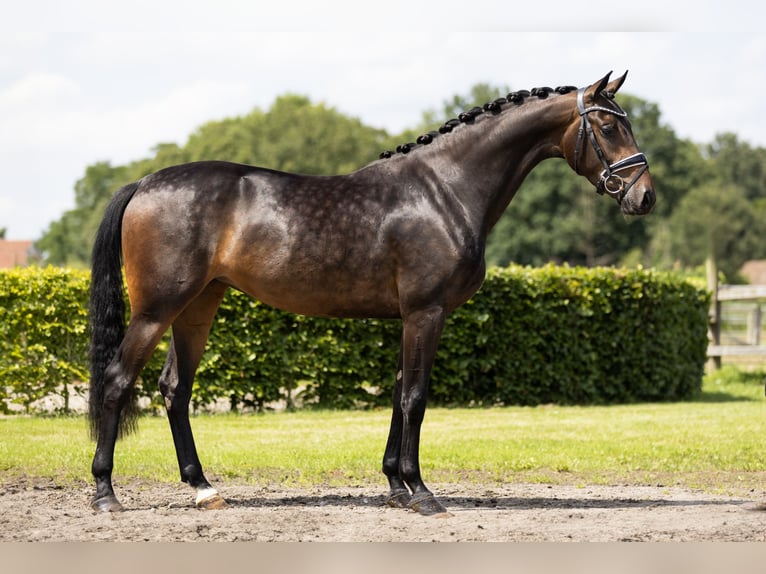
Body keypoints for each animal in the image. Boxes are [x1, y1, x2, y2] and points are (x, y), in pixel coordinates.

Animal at [88, 71, 656, 516]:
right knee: (118, 381)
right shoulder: (427, 312)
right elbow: (415, 397)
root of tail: (144, 184)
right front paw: (422, 492)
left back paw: (203, 489)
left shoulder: (411, 317)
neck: (446, 189)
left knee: (174, 389)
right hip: (157, 309)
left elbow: (399, 394)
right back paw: (105, 493)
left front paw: (396, 486)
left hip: (198, 307)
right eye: (609, 125)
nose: (644, 197)